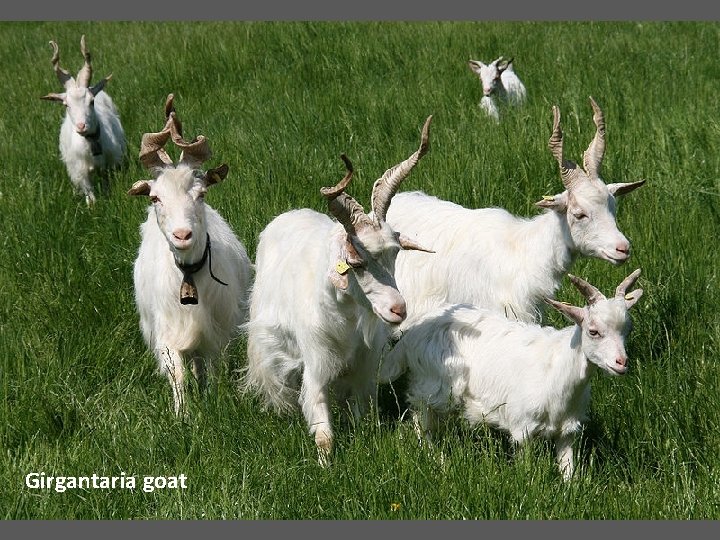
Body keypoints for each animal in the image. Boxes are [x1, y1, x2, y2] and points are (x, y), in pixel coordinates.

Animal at [41, 35, 126, 206]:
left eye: (91, 101)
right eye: (66, 105)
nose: (81, 126)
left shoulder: (112, 162)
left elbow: (108, 183)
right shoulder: (79, 173)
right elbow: (90, 195)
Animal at [128, 94, 253, 416]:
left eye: (201, 194)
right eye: (155, 197)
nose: (182, 235)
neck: (188, 275)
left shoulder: (216, 331)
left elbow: (213, 367)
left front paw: (214, 401)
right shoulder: (167, 334)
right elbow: (178, 375)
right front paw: (182, 415)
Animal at [243, 116, 433, 464]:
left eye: (395, 253)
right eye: (356, 263)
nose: (398, 309)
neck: (346, 320)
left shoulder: (364, 365)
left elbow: (363, 414)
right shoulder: (317, 362)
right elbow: (323, 431)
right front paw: (326, 465)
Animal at [388, 269, 643, 481]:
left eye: (627, 330)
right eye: (593, 331)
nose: (622, 363)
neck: (558, 368)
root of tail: (414, 331)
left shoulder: (567, 429)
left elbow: (568, 470)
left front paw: (570, 490)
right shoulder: (523, 427)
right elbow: (526, 467)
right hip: (433, 384)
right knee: (420, 417)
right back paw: (434, 458)